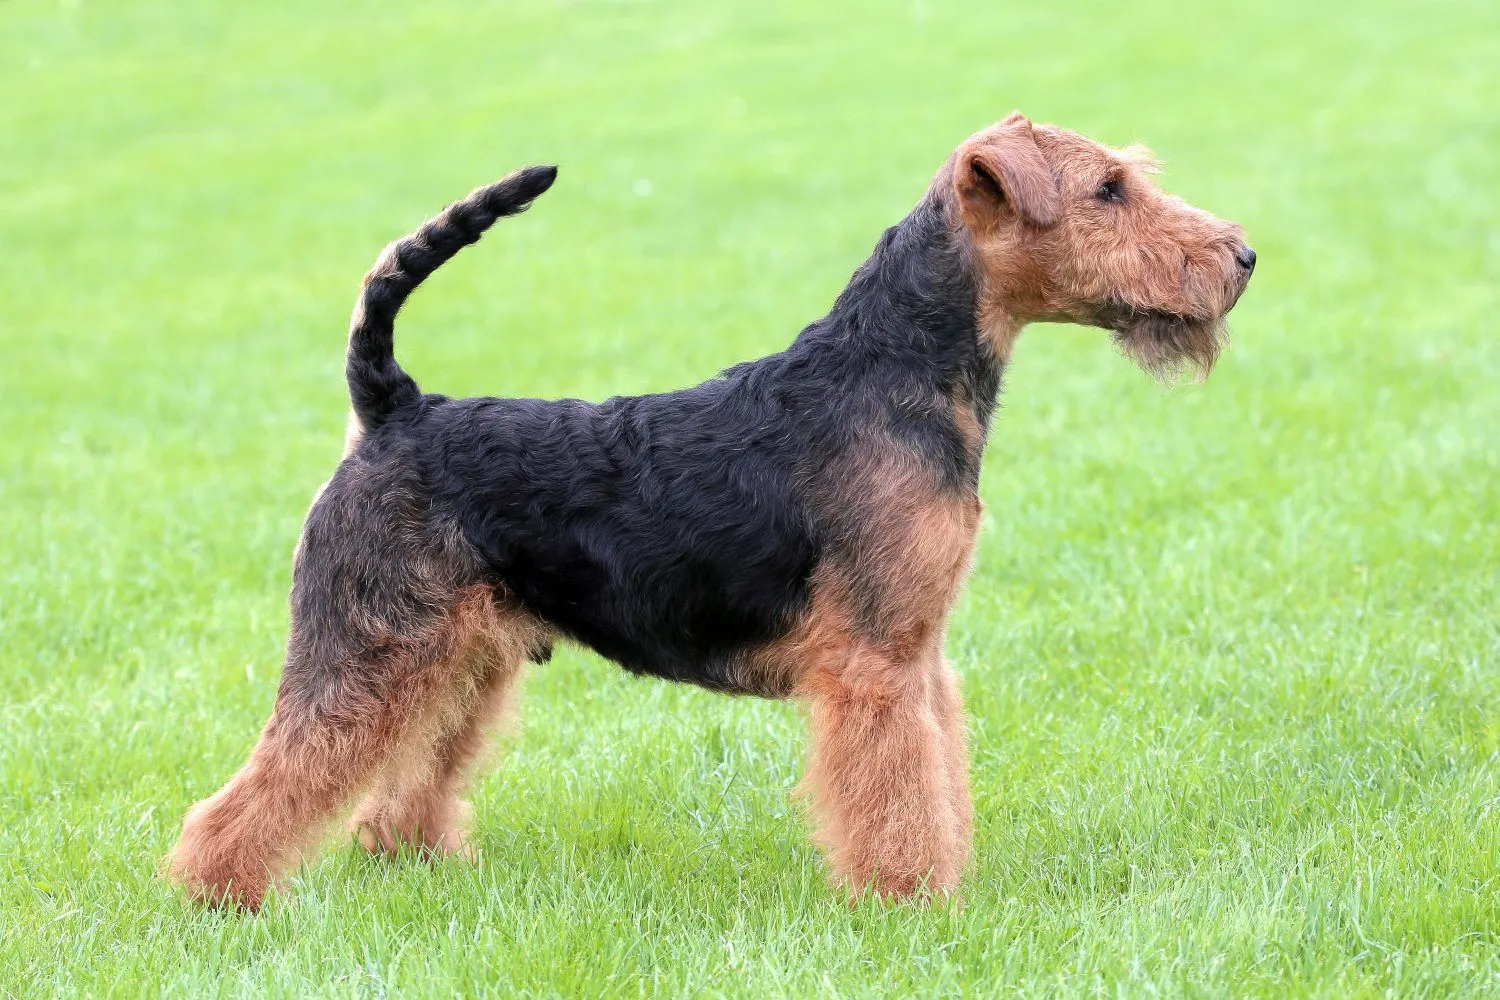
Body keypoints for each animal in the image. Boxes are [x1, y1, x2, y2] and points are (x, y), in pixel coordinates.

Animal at [167, 113, 1254, 911]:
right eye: (1108, 190)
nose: (1242, 255)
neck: (894, 371)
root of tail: (393, 408)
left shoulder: (920, 652)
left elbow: (937, 775)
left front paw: (944, 885)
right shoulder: (875, 664)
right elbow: (897, 793)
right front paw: (911, 903)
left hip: (463, 657)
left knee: (405, 781)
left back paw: (417, 864)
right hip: (366, 648)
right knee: (264, 785)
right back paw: (217, 896)